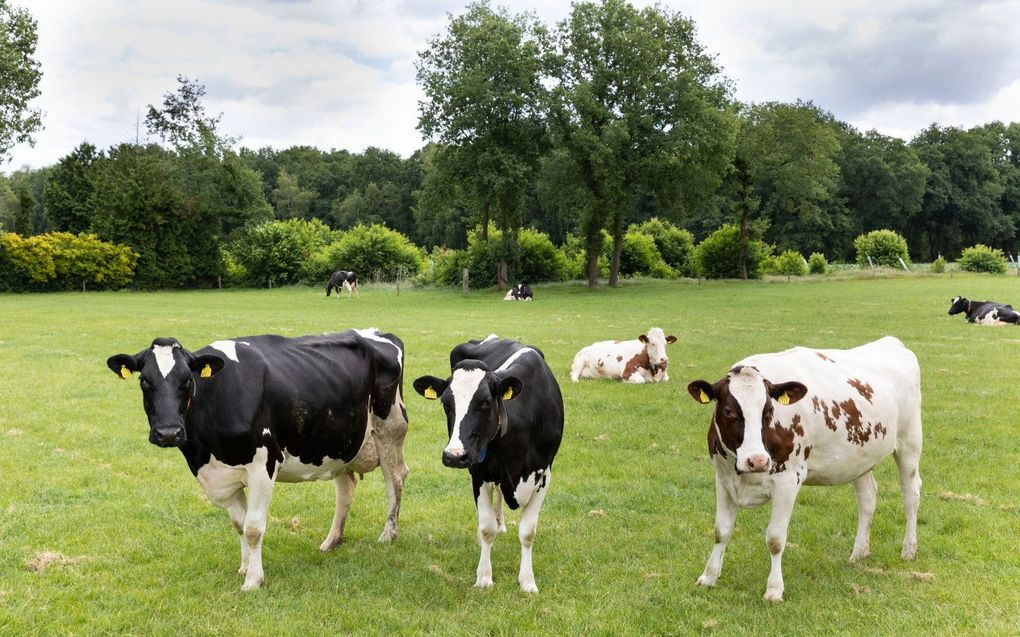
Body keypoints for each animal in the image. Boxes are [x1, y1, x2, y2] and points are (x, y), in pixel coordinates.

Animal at [103, 328, 405, 591]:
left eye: (187, 381)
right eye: (145, 382)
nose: (168, 432)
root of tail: (379, 333)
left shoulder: (263, 466)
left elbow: (253, 528)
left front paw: (253, 580)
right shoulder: (224, 474)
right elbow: (238, 524)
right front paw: (245, 567)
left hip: (390, 429)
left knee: (395, 480)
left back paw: (388, 535)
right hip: (341, 443)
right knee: (346, 489)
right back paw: (331, 542)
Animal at [410, 332, 563, 591]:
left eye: (485, 403)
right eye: (446, 404)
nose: (454, 455)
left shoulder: (544, 474)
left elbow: (528, 532)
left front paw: (527, 581)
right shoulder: (479, 473)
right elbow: (486, 528)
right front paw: (483, 577)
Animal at [685, 336, 926, 599]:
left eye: (769, 411)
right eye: (728, 411)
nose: (757, 460)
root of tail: (891, 342)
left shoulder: (788, 482)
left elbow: (775, 539)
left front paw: (774, 589)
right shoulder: (723, 478)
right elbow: (722, 530)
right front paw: (708, 576)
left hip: (909, 442)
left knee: (911, 495)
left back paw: (909, 549)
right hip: (860, 458)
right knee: (868, 498)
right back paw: (859, 552)